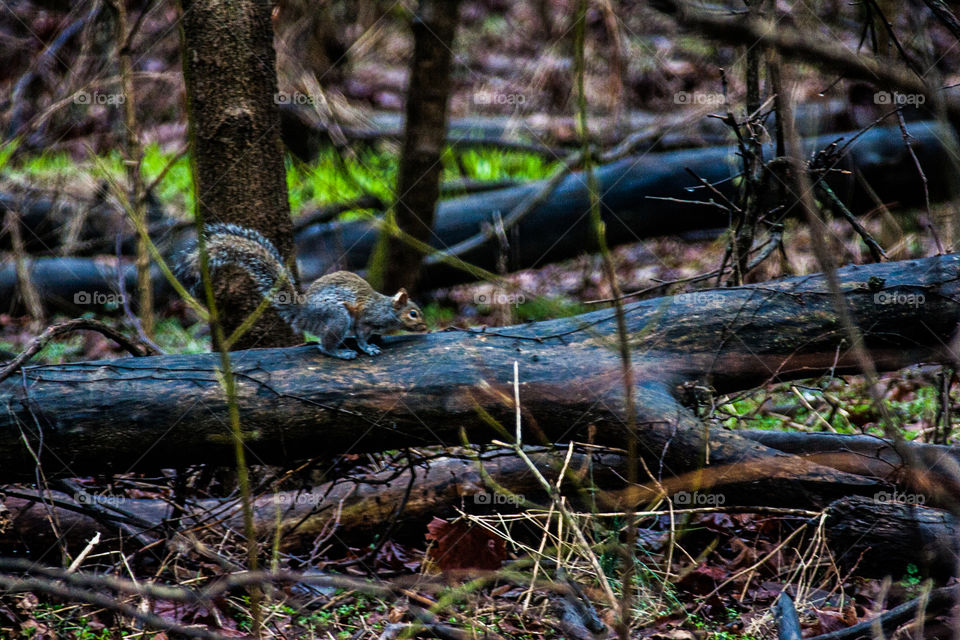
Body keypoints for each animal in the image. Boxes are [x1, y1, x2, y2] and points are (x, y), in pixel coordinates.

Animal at [177, 223, 427, 359]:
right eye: (413, 313)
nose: (426, 327)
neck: (386, 308)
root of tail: (303, 312)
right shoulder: (365, 318)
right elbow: (361, 336)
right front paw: (368, 348)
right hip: (337, 317)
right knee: (324, 346)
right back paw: (340, 352)